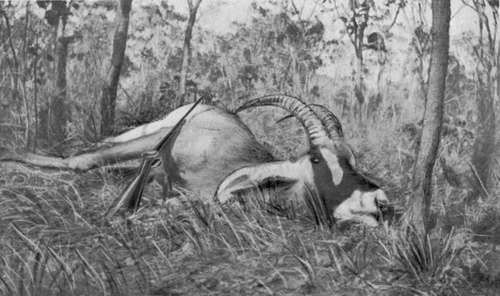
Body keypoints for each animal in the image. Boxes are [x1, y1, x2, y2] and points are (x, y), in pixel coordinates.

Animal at [0, 95, 394, 227]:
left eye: (352, 158)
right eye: (315, 158)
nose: (380, 202)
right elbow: (80, 161)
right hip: (150, 134)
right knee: (91, 154)